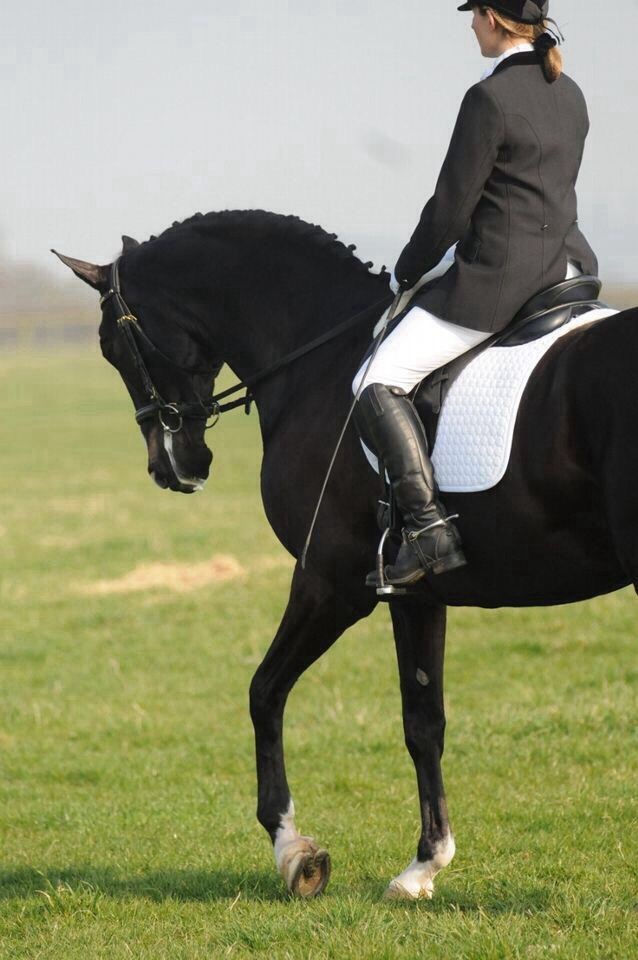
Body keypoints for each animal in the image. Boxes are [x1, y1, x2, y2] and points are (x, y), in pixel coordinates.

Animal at [54, 210, 637, 901]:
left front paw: (296, 849)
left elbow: (267, 691)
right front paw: (425, 864)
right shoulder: (417, 592)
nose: (173, 467)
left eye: (112, 348)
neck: (317, 360)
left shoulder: (331, 582)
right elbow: (425, 720)